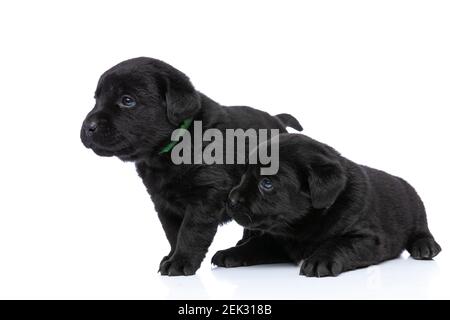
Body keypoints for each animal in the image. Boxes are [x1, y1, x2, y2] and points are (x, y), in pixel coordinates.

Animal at [81, 57, 302, 276]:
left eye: (127, 100)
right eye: (96, 99)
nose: (88, 127)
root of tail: (278, 119)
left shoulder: (205, 196)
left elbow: (190, 232)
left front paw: (180, 262)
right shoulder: (163, 203)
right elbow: (172, 232)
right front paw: (171, 256)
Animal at [220, 134, 442, 276]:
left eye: (266, 183)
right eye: (244, 174)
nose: (230, 200)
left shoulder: (368, 238)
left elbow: (340, 243)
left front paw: (320, 260)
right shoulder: (276, 240)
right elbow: (254, 245)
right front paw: (229, 253)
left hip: (417, 211)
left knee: (422, 231)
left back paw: (426, 246)